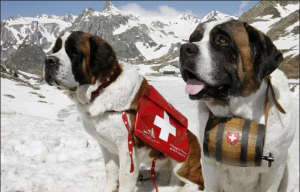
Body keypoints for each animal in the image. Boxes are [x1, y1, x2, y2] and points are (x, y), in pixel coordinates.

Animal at [43, 30, 205, 191]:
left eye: (73, 52)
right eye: (55, 49)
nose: (48, 60)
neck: (103, 88)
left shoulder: (127, 148)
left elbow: (125, 177)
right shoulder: (106, 146)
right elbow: (111, 172)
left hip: (182, 162)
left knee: (196, 184)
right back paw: (146, 174)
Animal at [179, 18, 296, 191]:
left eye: (222, 40)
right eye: (194, 39)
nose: (185, 48)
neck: (242, 115)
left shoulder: (275, 169)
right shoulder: (209, 166)